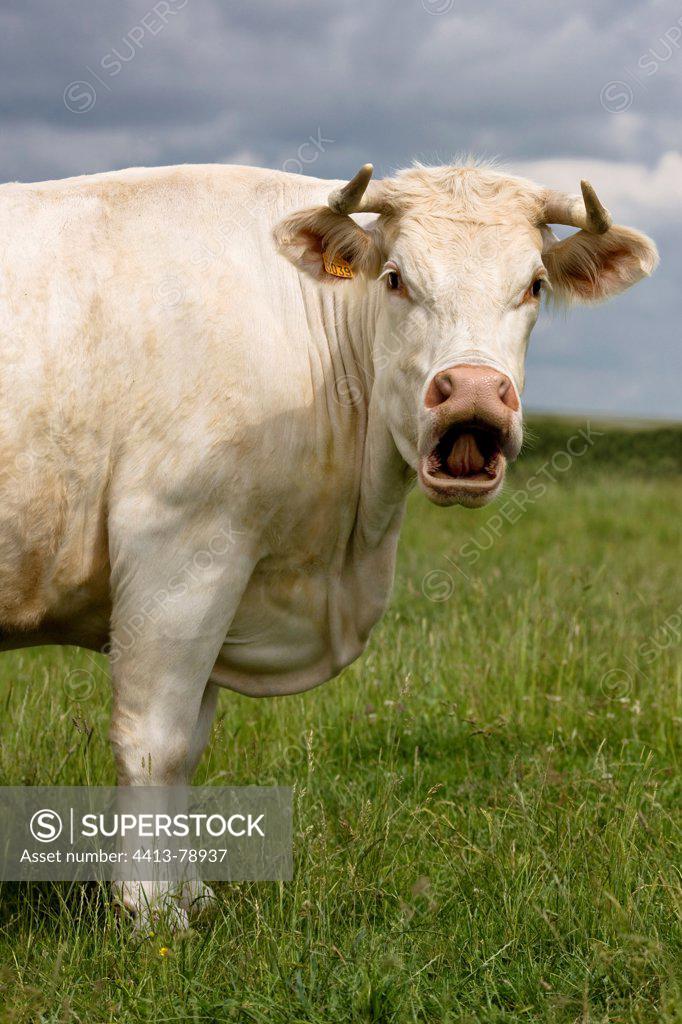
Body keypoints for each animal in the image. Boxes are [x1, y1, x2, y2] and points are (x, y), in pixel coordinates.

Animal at [0, 160, 657, 923]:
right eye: (396, 278)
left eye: (534, 284)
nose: (472, 391)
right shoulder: (179, 547)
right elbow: (155, 740)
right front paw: (152, 908)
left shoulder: (226, 578)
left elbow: (191, 743)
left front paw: (191, 892)